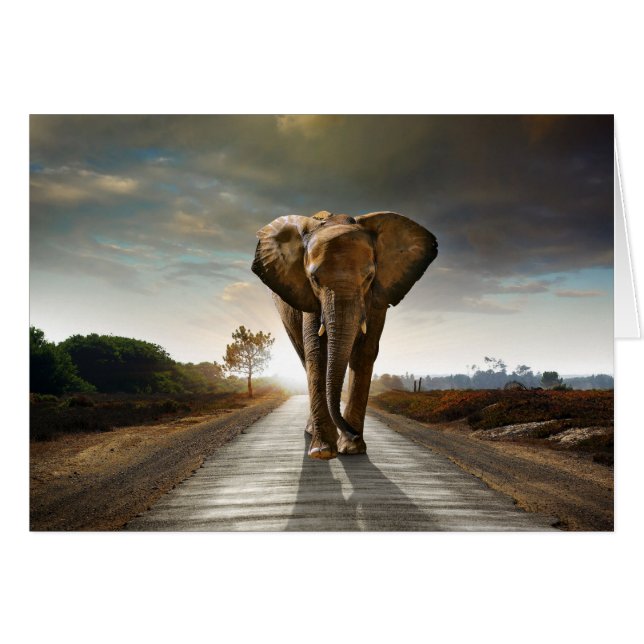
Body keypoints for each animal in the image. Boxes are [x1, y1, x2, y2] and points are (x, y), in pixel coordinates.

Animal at [252, 210, 437, 460]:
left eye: (369, 277)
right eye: (314, 279)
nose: (353, 433)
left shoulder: (377, 296)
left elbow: (365, 353)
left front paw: (352, 449)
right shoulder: (309, 297)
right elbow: (317, 353)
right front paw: (323, 452)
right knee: (304, 356)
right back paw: (312, 433)